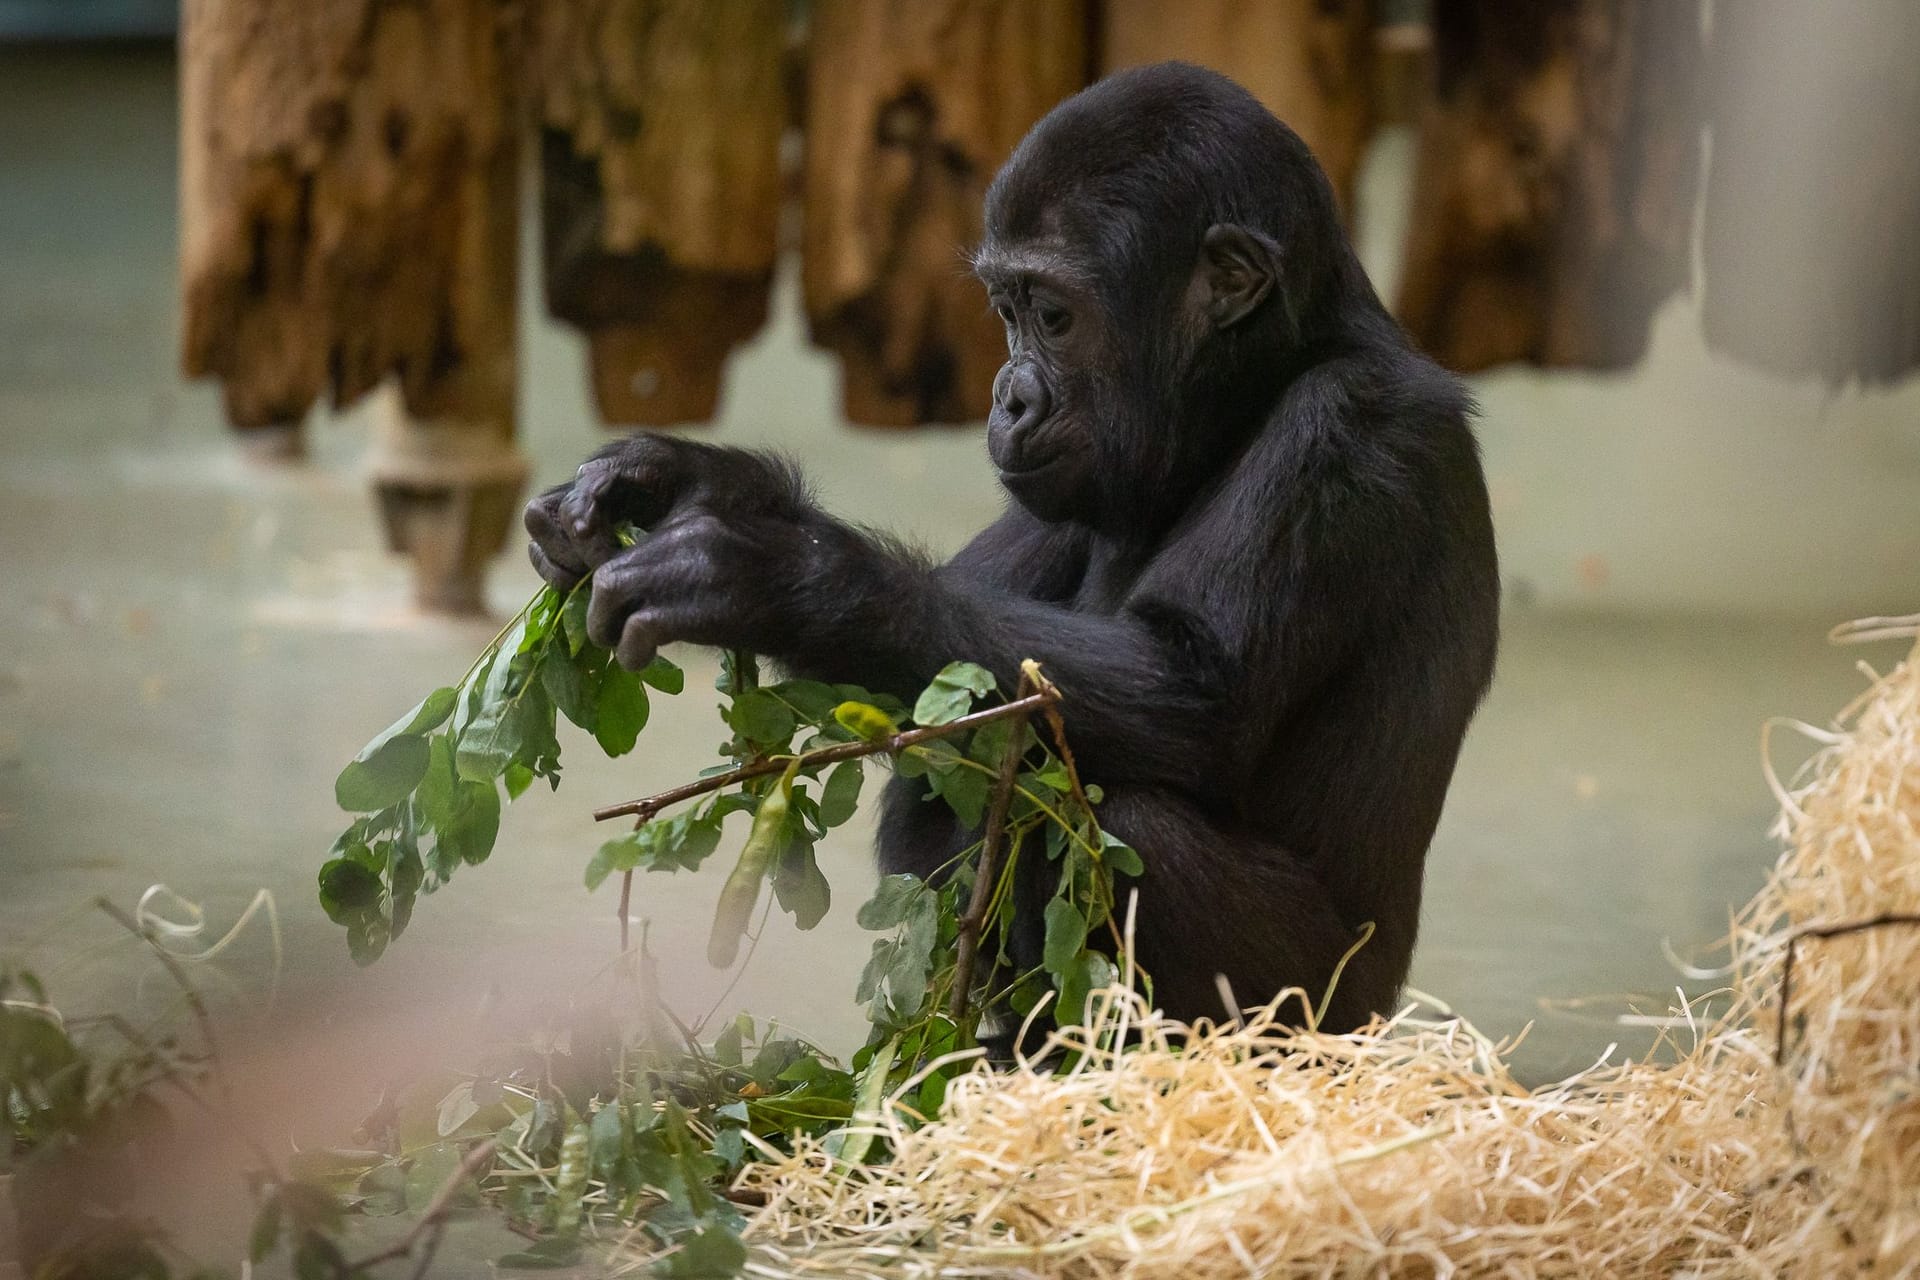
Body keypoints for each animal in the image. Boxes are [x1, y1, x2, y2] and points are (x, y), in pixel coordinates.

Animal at [526, 65, 1497, 1036]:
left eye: (1056, 316)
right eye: (1008, 310)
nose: (1010, 397)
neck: (1264, 380)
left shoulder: (1348, 429)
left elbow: (1196, 689)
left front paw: (767, 576)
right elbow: (961, 615)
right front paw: (679, 481)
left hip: (1322, 1017)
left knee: (1128, 820)